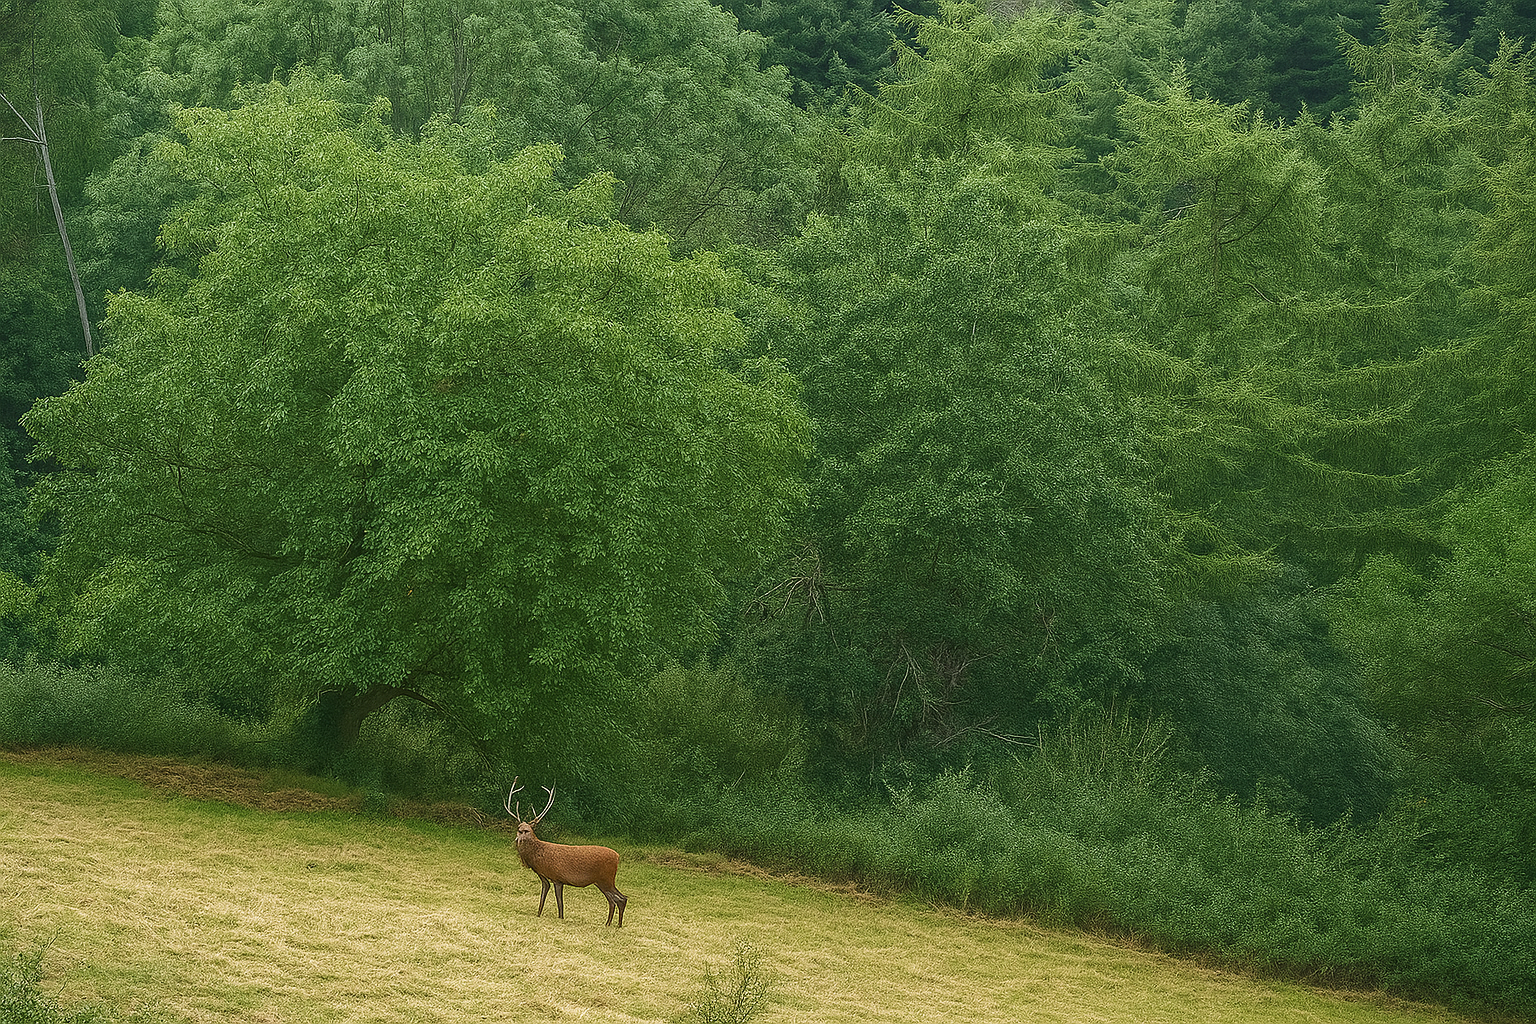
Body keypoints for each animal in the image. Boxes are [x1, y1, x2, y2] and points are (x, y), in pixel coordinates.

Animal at [505, 778, 628, 927]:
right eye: (519, 829)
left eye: (527, 830)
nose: (519, 839)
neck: (536, 858)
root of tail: (617, 856)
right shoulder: (544, 875)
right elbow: (545, 895)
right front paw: (539, 914)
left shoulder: (557, 877)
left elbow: (560, 903)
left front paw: (560, 918)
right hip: (601, 881)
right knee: (614, 900)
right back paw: (610, 923)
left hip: (606, 878)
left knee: (620, 899)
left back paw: (615, 924)